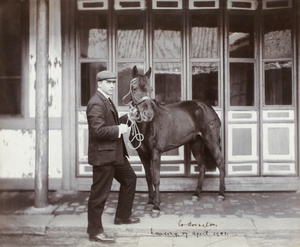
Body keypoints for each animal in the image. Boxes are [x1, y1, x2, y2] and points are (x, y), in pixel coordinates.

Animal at [125, 66, 226, 217]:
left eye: (150, 89)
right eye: (134, 88)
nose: (148, 114)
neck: (147, 126)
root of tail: (208, 108)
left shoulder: (156, 154)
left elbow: (156, 179)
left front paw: (156, 207)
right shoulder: (142, 154)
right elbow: (148, 177)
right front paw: (150, 202)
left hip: (211, 142)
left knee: (220, 163)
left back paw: (221, 194)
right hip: (196, 144)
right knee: (202, 166)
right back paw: (196, 194)